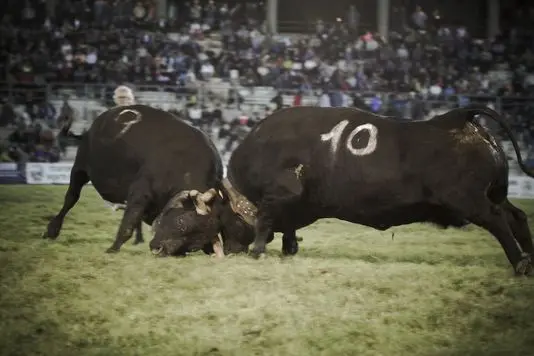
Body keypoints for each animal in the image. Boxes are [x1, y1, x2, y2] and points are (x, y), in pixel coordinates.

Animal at [42, 103, 255, 256]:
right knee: (71, 197)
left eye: (197, 240)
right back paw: (52, 230)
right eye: (183, 222)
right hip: (80, 167)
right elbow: (128, 221)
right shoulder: (139, 192)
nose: (158, 249)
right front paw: (113, 248)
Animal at [226, 105, 534, 276]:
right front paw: (287, 249)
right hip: (494, 193)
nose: (229, 251)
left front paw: (257, 251)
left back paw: (520, 263)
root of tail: (459, 118)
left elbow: (265, 221)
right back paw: (529, 259)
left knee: (497, 219)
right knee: (516, 216)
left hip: (468, 200)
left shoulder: (280, 194)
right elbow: (286, 229)